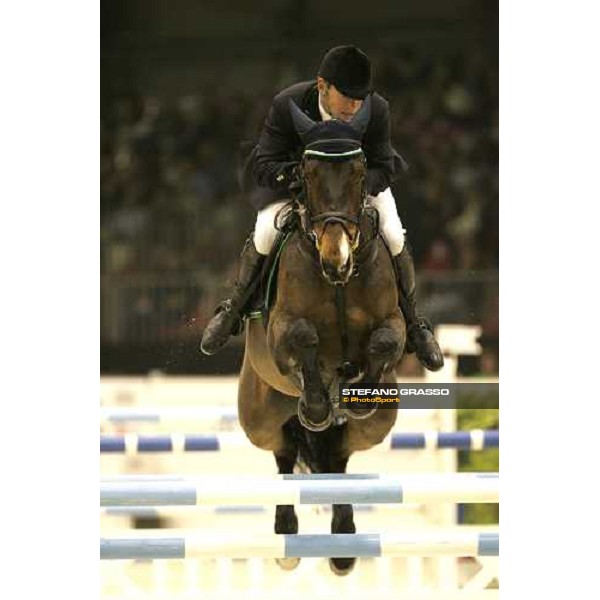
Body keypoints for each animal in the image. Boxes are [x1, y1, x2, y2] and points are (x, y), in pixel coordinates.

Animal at [237, 98, 406, 576]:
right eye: (307, 173)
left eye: (360, 170)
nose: (337, 259)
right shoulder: (280, 331)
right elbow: (303, 337)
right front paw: (315, 403)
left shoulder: (394, 322)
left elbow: (385, 342)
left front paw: (356, 393)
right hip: (258, 414)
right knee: (282, 453)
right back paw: (287, 534)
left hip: (380, 424)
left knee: (338, 459)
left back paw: (344, 543)